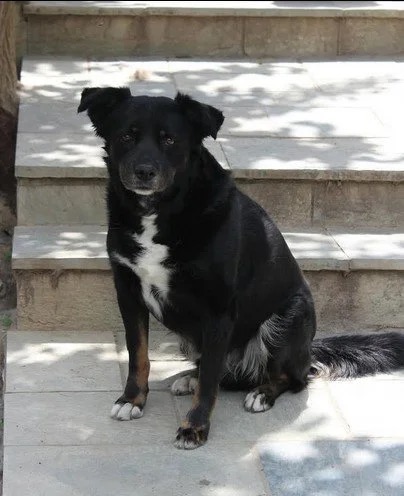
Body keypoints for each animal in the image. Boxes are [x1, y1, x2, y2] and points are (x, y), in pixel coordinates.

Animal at [78, 88, 404, 449]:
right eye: (126, 136)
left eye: (170, 139)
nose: (144, 171)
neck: (161, 211)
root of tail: (309, 350)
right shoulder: (128, 293)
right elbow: (139, 355)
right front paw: (132, 399)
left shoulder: (217, 309)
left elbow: (209, 381)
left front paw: (194, 427)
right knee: (222, 372)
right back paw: (189, 379)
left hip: (289, 317)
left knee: (290, 378)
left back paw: (261, 393)